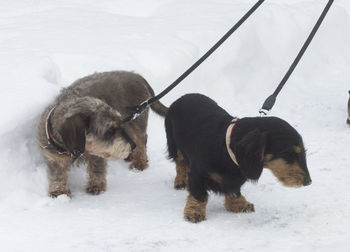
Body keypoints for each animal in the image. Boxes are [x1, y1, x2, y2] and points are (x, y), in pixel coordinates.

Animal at [37, 71, 167, 197]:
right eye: (110, 131)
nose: (132, 146)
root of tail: (138, 76)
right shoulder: (53, 157)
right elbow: (57, 174)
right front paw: (59, 191)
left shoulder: (99, 153)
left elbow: (97, 169)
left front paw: (96, 185)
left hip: (136, 121)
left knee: (141, 140)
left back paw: (139, 161)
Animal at [166, 94, 312, 222]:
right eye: (288, 153)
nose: (308, 182)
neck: (225, 149)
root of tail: (183, 97)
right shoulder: (197, 174)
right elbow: (199, 194)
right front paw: (194, 212)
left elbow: (234, 191)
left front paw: (238, 204)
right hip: (174, 145)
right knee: (180, 163)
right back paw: (180, 181)